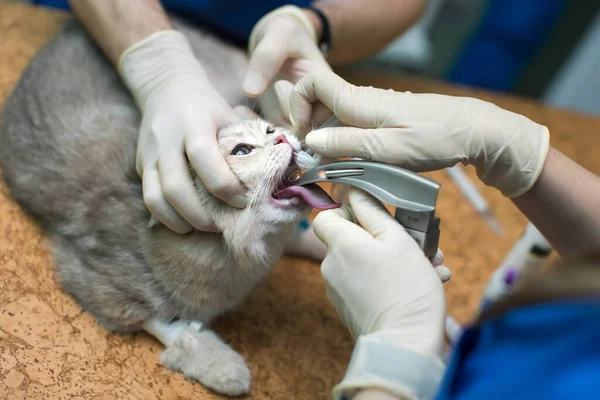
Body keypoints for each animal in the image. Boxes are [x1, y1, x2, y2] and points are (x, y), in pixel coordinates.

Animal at [0, 16, 338, 396]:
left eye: (268, 130)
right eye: (242, 151)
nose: (282, 136)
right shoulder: (92, 277)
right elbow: (163, 322)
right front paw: (219, 363)